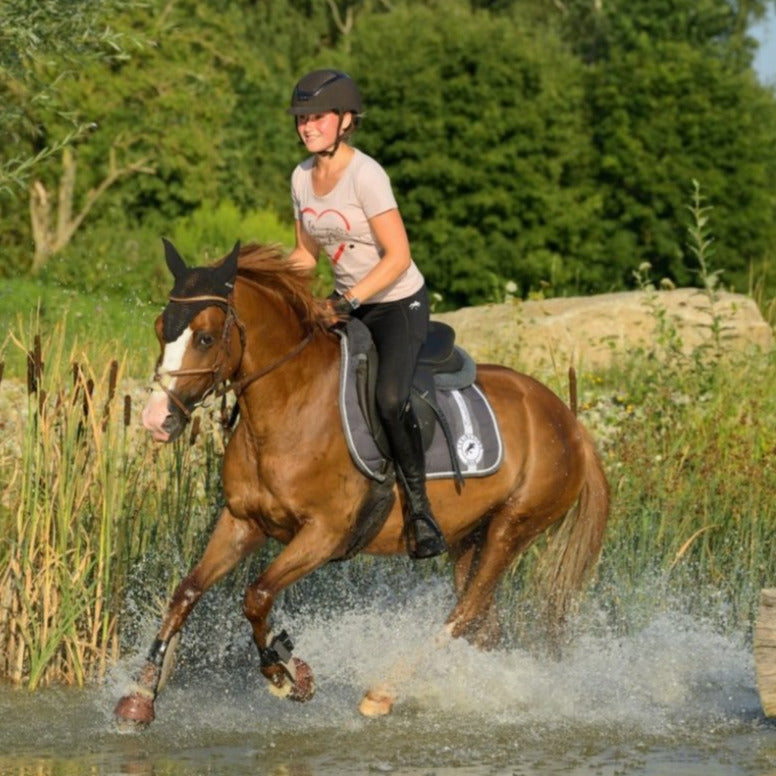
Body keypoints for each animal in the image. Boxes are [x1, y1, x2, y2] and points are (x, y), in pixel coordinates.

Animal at [114, 240, 609, 725]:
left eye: (205, 337)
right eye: (160, 329)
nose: (156, 420)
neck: (290, 405)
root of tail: (569, 421)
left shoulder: (324, 534)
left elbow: (256, 595)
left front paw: (288, 672)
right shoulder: (242, 522)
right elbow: (186, 592)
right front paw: (141, 694)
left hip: (513, 527)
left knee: (465, 613)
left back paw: (384, 692)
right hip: (471, 538)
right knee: (484, 625)